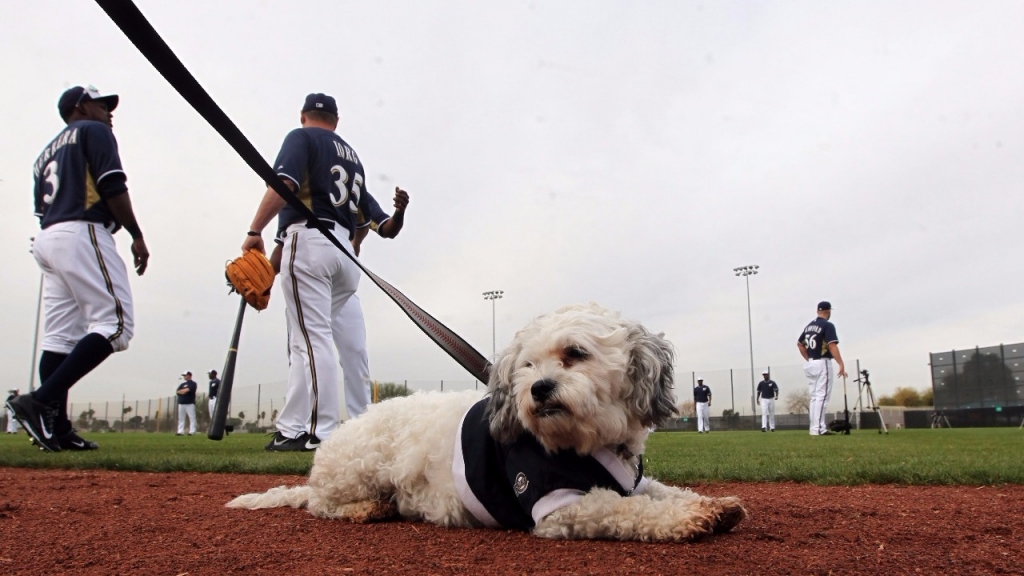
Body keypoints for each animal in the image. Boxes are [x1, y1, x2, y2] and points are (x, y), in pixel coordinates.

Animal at [228, 303, 749, 541]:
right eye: (527, 365)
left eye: (575, 353)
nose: (538, 388)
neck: (591, 442)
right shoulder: (560, 506)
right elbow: (630, 510)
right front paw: (688, 518)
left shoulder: (633, 480)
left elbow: (661, 492)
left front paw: (709, 503)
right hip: (361, 469)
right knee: (322, 506)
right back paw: (364, 509)